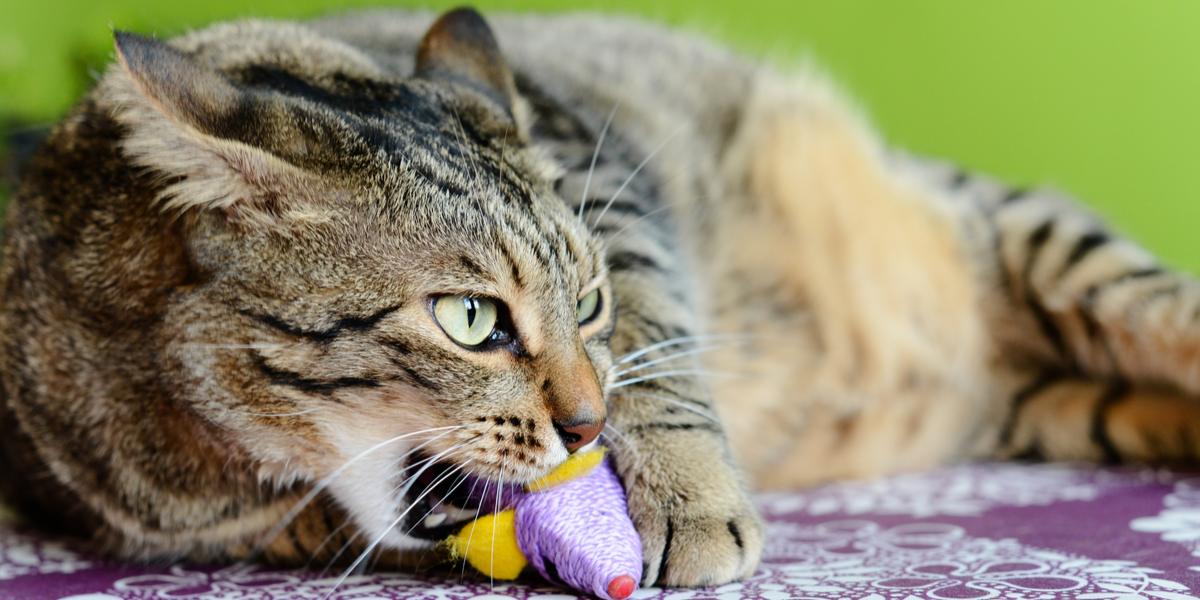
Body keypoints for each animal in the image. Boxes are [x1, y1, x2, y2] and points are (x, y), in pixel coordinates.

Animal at [2, 5, 1200, 585]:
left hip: (1044, 241)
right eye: (471, 320)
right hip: (1056, 403)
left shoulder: (608, 182)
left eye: (589, 305)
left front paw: (686, 494)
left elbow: (661, 362)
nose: (581, 424)